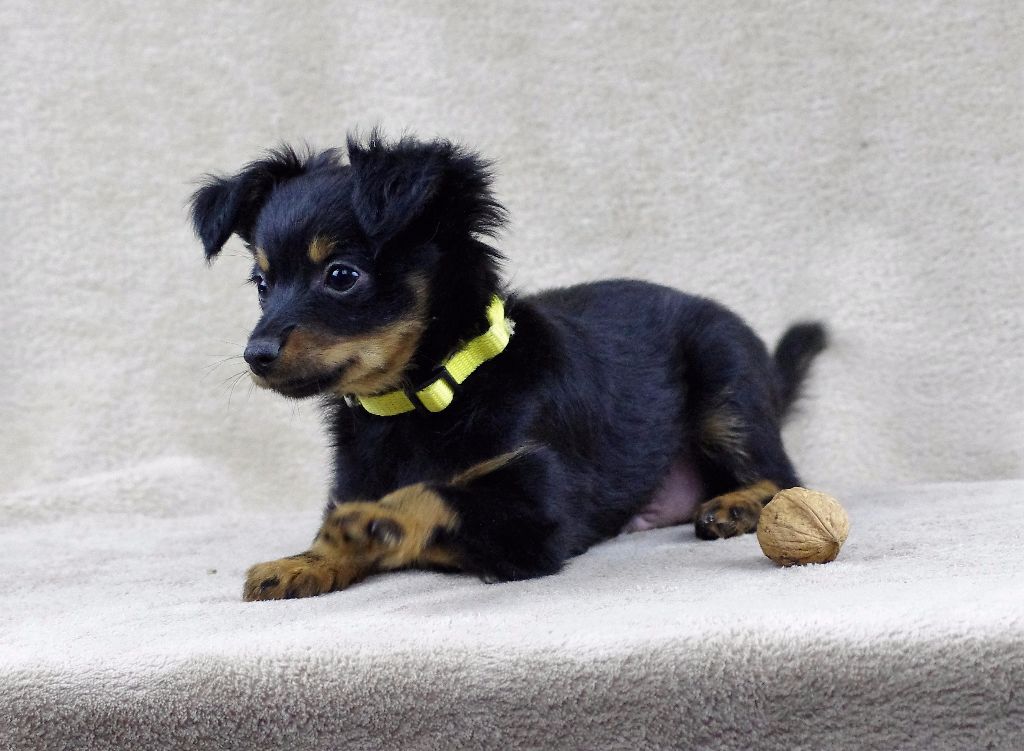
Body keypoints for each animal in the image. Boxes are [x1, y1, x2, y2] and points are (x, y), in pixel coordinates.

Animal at [190, 133, 827, 601]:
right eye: (262, 284)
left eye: (342, 276)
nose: (256, 355)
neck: (420, 403)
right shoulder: (352, 486)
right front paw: (305, 561)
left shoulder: (537, 523)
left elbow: (441, 497)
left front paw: (378, 524)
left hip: (726, 383)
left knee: (783, 474)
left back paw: (737, 503)